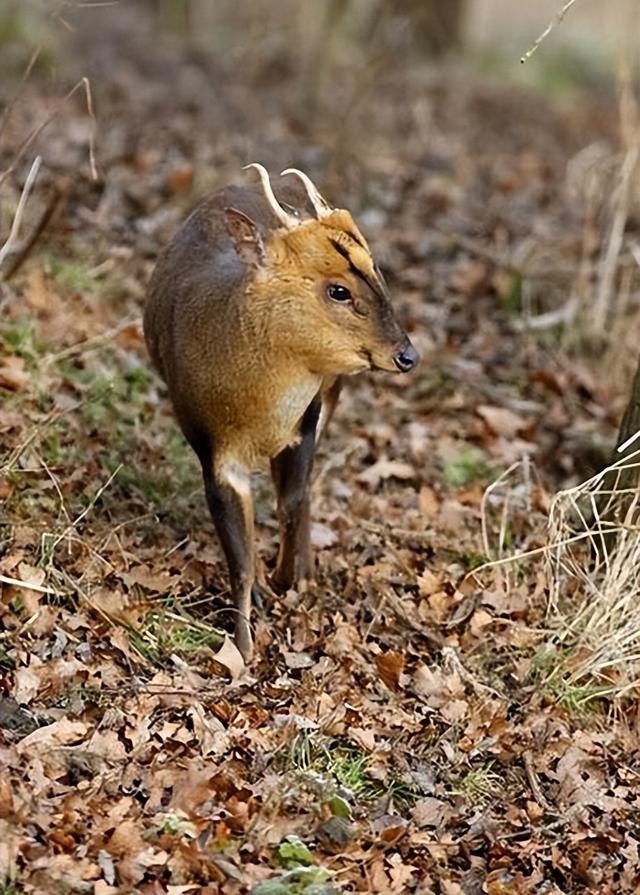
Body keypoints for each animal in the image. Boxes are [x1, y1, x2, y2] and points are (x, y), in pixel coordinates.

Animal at [142, 164, 418, 660]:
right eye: (338, 290)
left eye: (378, 272)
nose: (407, 355)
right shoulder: (212, 449)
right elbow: (239, 556)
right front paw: (244, 640)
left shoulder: (304, 422)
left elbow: (291, 500)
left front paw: (292, 581)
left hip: (332, 391)